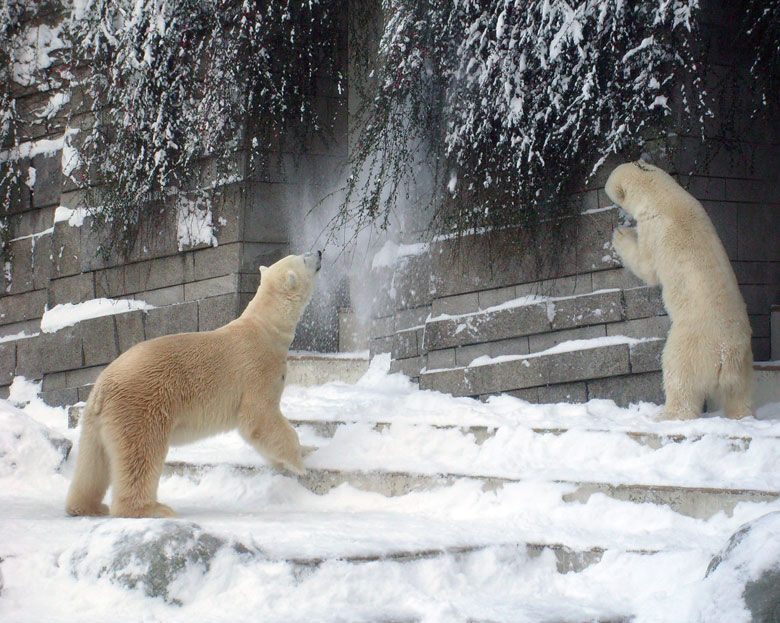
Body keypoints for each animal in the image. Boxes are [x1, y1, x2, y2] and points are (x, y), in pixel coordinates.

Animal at [65, 251, 322, 520]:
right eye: (303, 258)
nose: (319, 253)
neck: (265, 328)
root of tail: (103, 386)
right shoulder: (257, 371)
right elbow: (260, 420)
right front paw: (300, 464)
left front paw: (306, 450)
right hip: (142, 405)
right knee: (141, 453)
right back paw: (151, 509)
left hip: (97, 417)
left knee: (93, 459)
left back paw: (86, 506)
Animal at [608, 163, 752, 422]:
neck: (665, 196)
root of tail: (727, 355)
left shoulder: (654, 231)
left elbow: (647, 267)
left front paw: (621, 235)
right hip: (745, 361)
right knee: (739, 394)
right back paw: (742, 415)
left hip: (691, 345)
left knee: (679, 375)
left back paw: (667, 414)